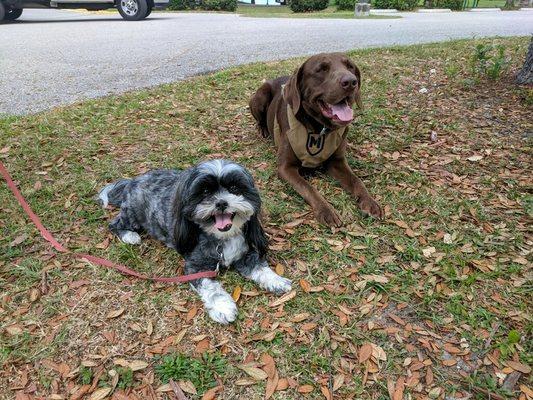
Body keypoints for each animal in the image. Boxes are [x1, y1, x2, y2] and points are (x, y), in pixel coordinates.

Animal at [97, 158, 294, 324]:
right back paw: (129, 236)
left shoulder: (244, 254)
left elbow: (260, 267)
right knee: (114, 224)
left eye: (234, 188)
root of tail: (132, 181)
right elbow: (212, 289)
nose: (221, 203)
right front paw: (224, 307)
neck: (222, 239)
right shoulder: (196, 267)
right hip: (133, 214)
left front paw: (276, 280)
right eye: (205, 191)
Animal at [247, 52, 380, 228]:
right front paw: (326, 210)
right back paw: (263, 129)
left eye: (350, 66)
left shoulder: (337, 162)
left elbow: (357, 180)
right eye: (321, 69)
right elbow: (309, 188)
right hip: (260, 96)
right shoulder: (285, 168)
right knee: (259, 118)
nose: (351, 82)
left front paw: (370, 202)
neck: (319, 128)